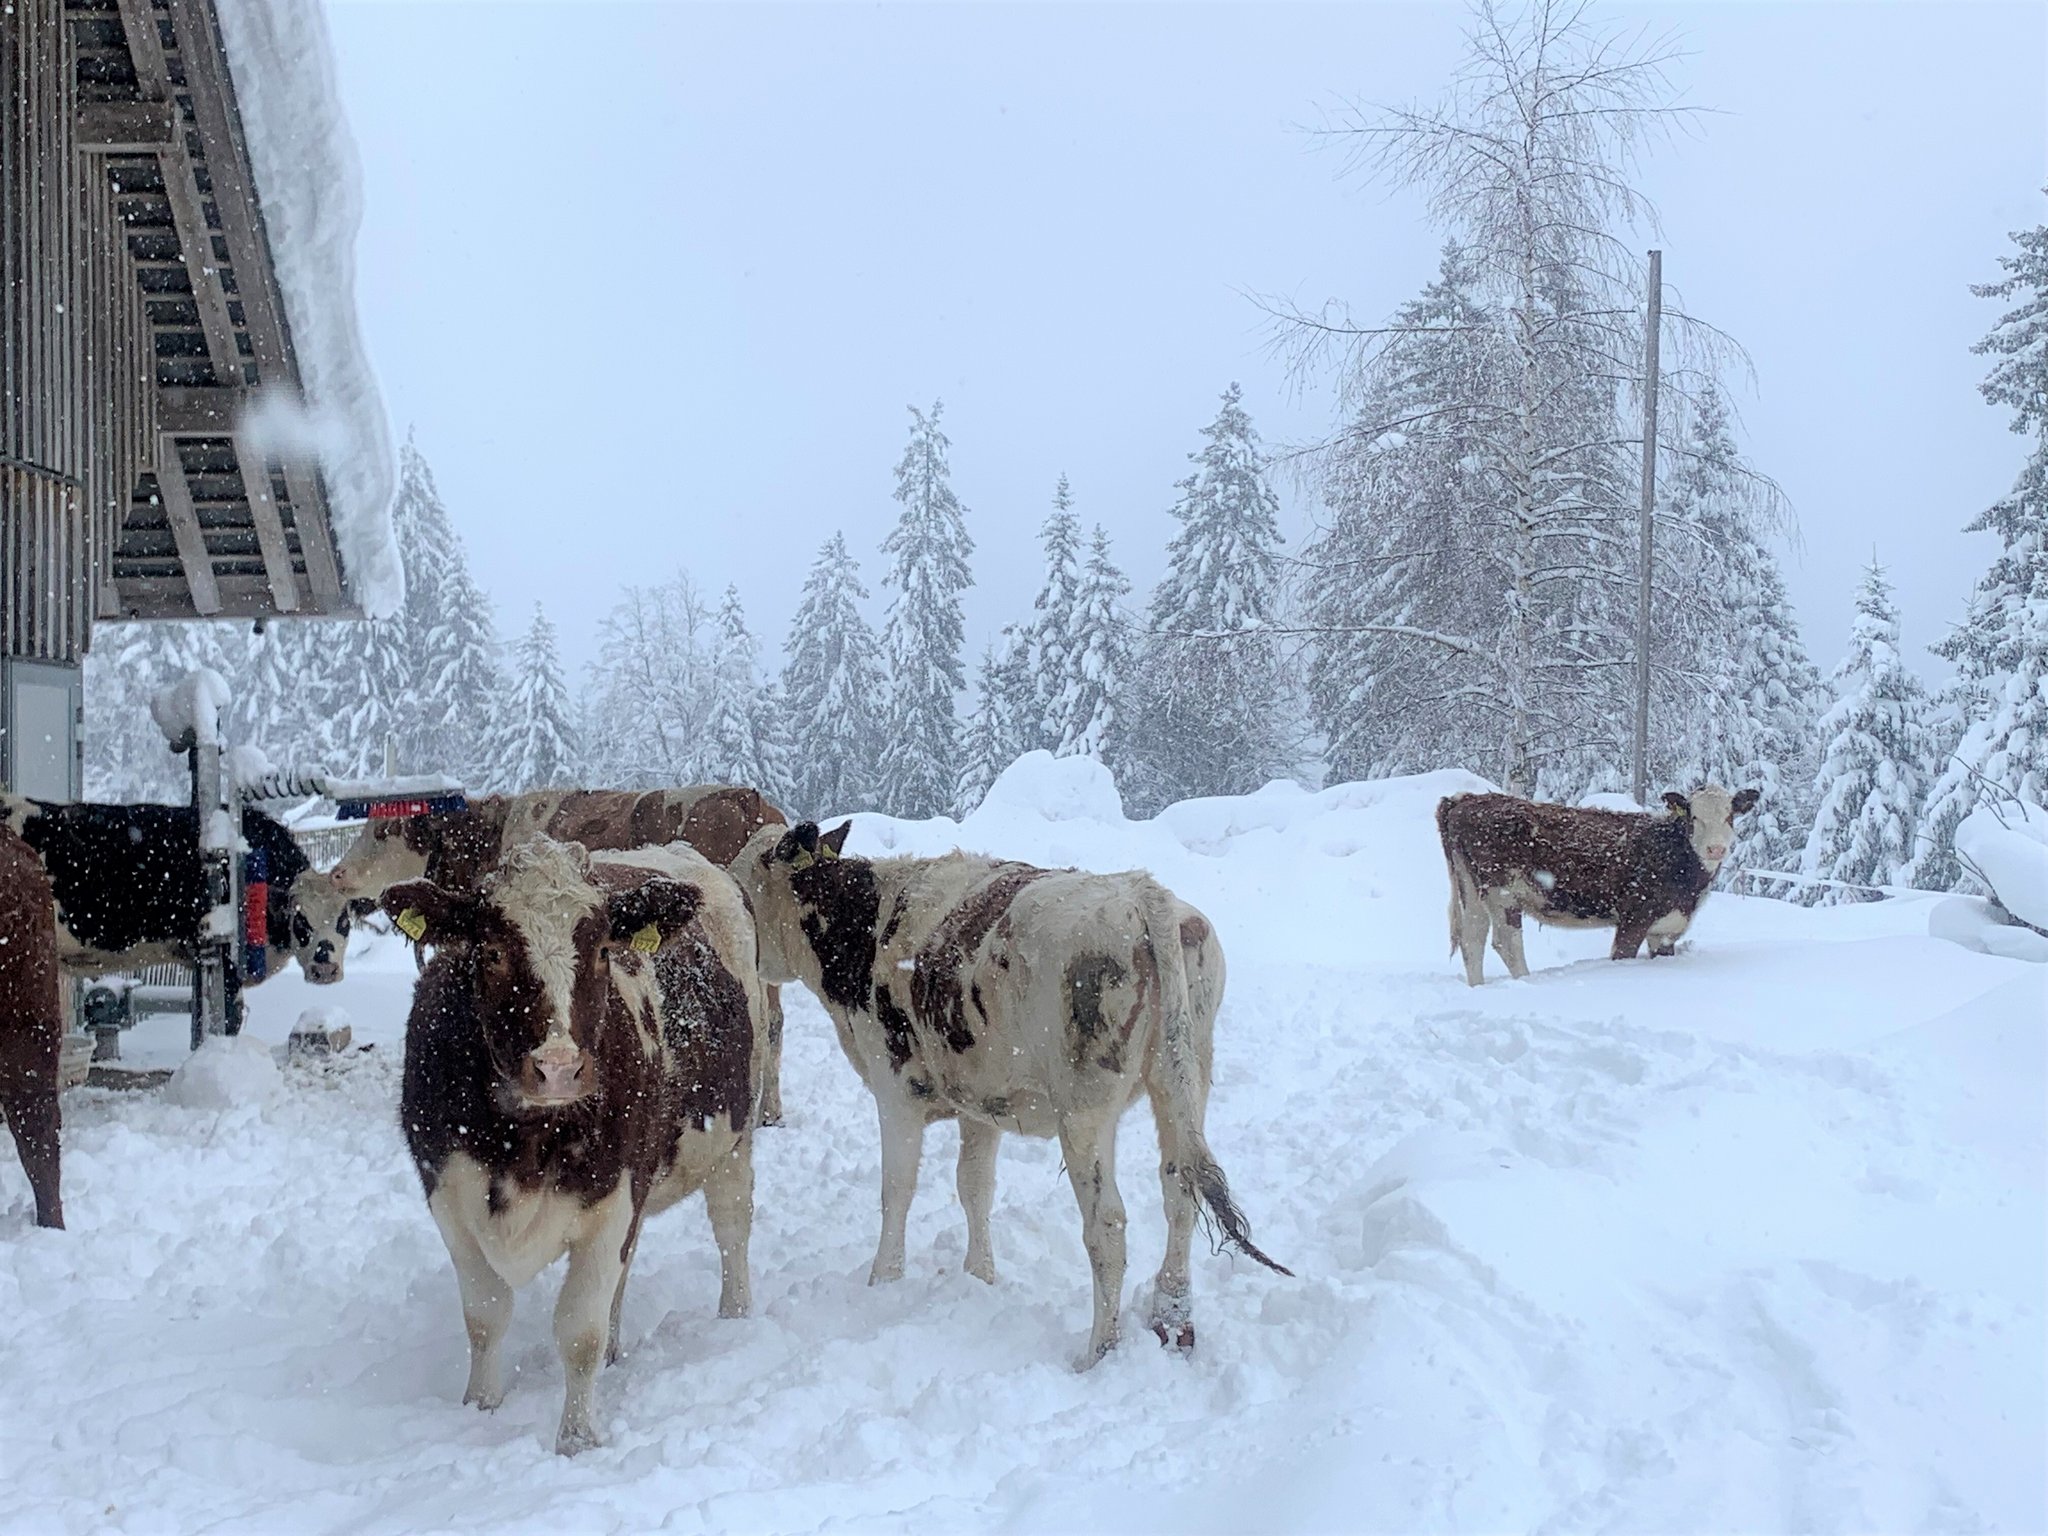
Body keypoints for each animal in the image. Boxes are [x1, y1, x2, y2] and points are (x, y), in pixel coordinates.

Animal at [387, 835, 768, 1455]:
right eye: (490, 950)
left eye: (602, 950)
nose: (559, 1069)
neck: (523, 1139)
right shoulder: (447, 1197)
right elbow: (485, 1315)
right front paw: (480, 1406)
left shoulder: (613, 1198)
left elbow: (578, 1330)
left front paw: (577, 1440)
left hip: (735, 1135)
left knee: (732, 1226)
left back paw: (734, 1315)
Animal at [734, 819, 1289, 1368]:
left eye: (741, 885)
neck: (863, 927)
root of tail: (1141, 893)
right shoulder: (979, 1103)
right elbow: (974, 1186)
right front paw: (979, 1276)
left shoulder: (896, 1092)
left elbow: (897, 1191)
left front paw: (883, 1280)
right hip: (1183, 1079)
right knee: (1179, 1191)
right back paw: (1173, 1322)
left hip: (1084, 1107)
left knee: (1107, 1223)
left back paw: (1099, 1352)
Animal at [1438, 785, 1762, 985]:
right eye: (1694, 816)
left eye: (1729, 816)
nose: (1716, 849)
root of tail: (1464, 799)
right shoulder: (1634, 918)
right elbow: (1621, 955)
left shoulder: (1667, 929)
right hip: (1502, 890)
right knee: (1506, 941)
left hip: (1471, 888)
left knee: (1472, 938)